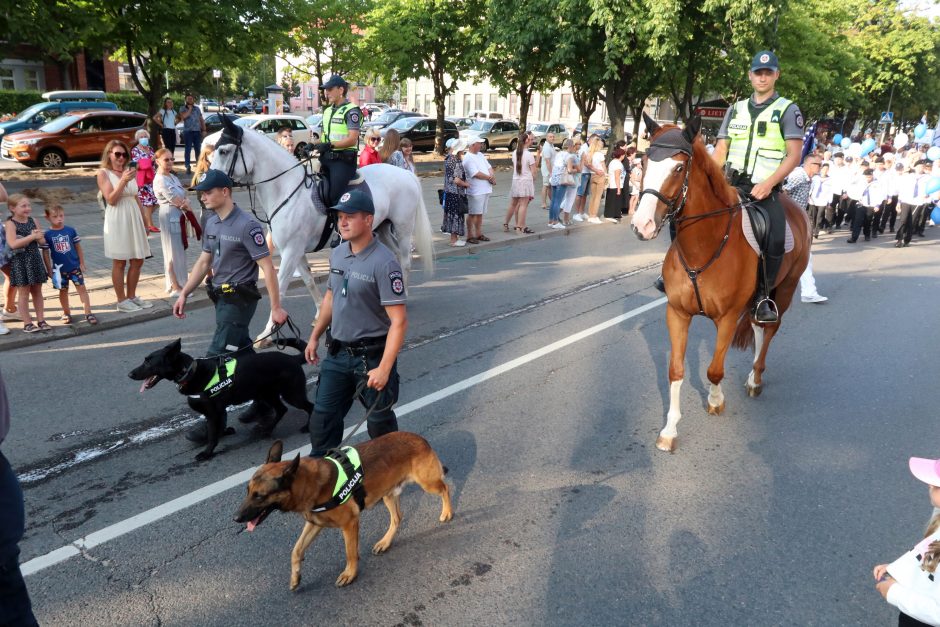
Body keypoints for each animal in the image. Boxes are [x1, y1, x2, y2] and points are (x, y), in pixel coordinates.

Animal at [129, 338, 314, 462]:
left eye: (148, 362)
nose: (130, 374)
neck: (189, 372)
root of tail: (292, 358)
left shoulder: (212, 413)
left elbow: (212, 435)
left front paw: (207, 452)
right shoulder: (214, 413)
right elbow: (216, 429)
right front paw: (224, 433)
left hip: (292, 395)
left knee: (310, 407)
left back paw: (307, 427)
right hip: (266, 394)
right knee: (282, 409)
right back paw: (267, 429)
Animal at [209, 116, 434, 344]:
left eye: (224, 151)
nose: (207, 183)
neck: (287, 191)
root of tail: (406, 174)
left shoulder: (291, 251)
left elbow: (279, 288)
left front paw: (266, 334)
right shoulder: (296, 251)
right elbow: (309, 281)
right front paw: (320, 315)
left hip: (403, 228)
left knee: (405, 261)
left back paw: (402, 298)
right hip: (383, 229)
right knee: (395, 256)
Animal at [235, 434, 456, 592]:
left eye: (259, 496)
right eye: (248, 491)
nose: (236, 518)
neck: (308, 482)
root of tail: (420, 438)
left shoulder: (349, 524)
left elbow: (349, 553)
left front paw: (350, 574)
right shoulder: (314, 524)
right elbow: (296, 551)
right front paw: (295, 577)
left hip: (427, 483)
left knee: (445, 488)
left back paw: (447, 512)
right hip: (387, 494)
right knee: (397, 518)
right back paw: (385, 542)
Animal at [636, 115, 812, 454]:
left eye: (678, 169)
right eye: (643, 160)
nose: (642, 225)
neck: (704, 246)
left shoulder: (728, 318)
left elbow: (714, 369)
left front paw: (716, 401)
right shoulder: (677, 313)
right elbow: (675, 371)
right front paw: (670, 430)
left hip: (784, 290)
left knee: (769, 328)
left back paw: (755, 379)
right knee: (757, 326)